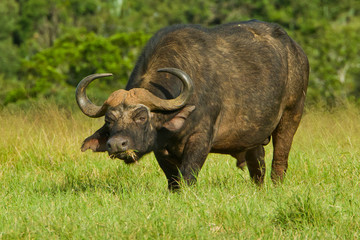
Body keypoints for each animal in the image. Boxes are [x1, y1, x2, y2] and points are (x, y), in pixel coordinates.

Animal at [76, 20, 310, 189]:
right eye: (109, 119)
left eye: (141, 117)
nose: (117, 145)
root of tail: (297, 51)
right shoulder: (161, 148)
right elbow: (173, 180)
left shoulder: (201, 139)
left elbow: (188, 175)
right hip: (254, 136)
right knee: (257, 167)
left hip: (292, 114)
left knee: (280, 159)